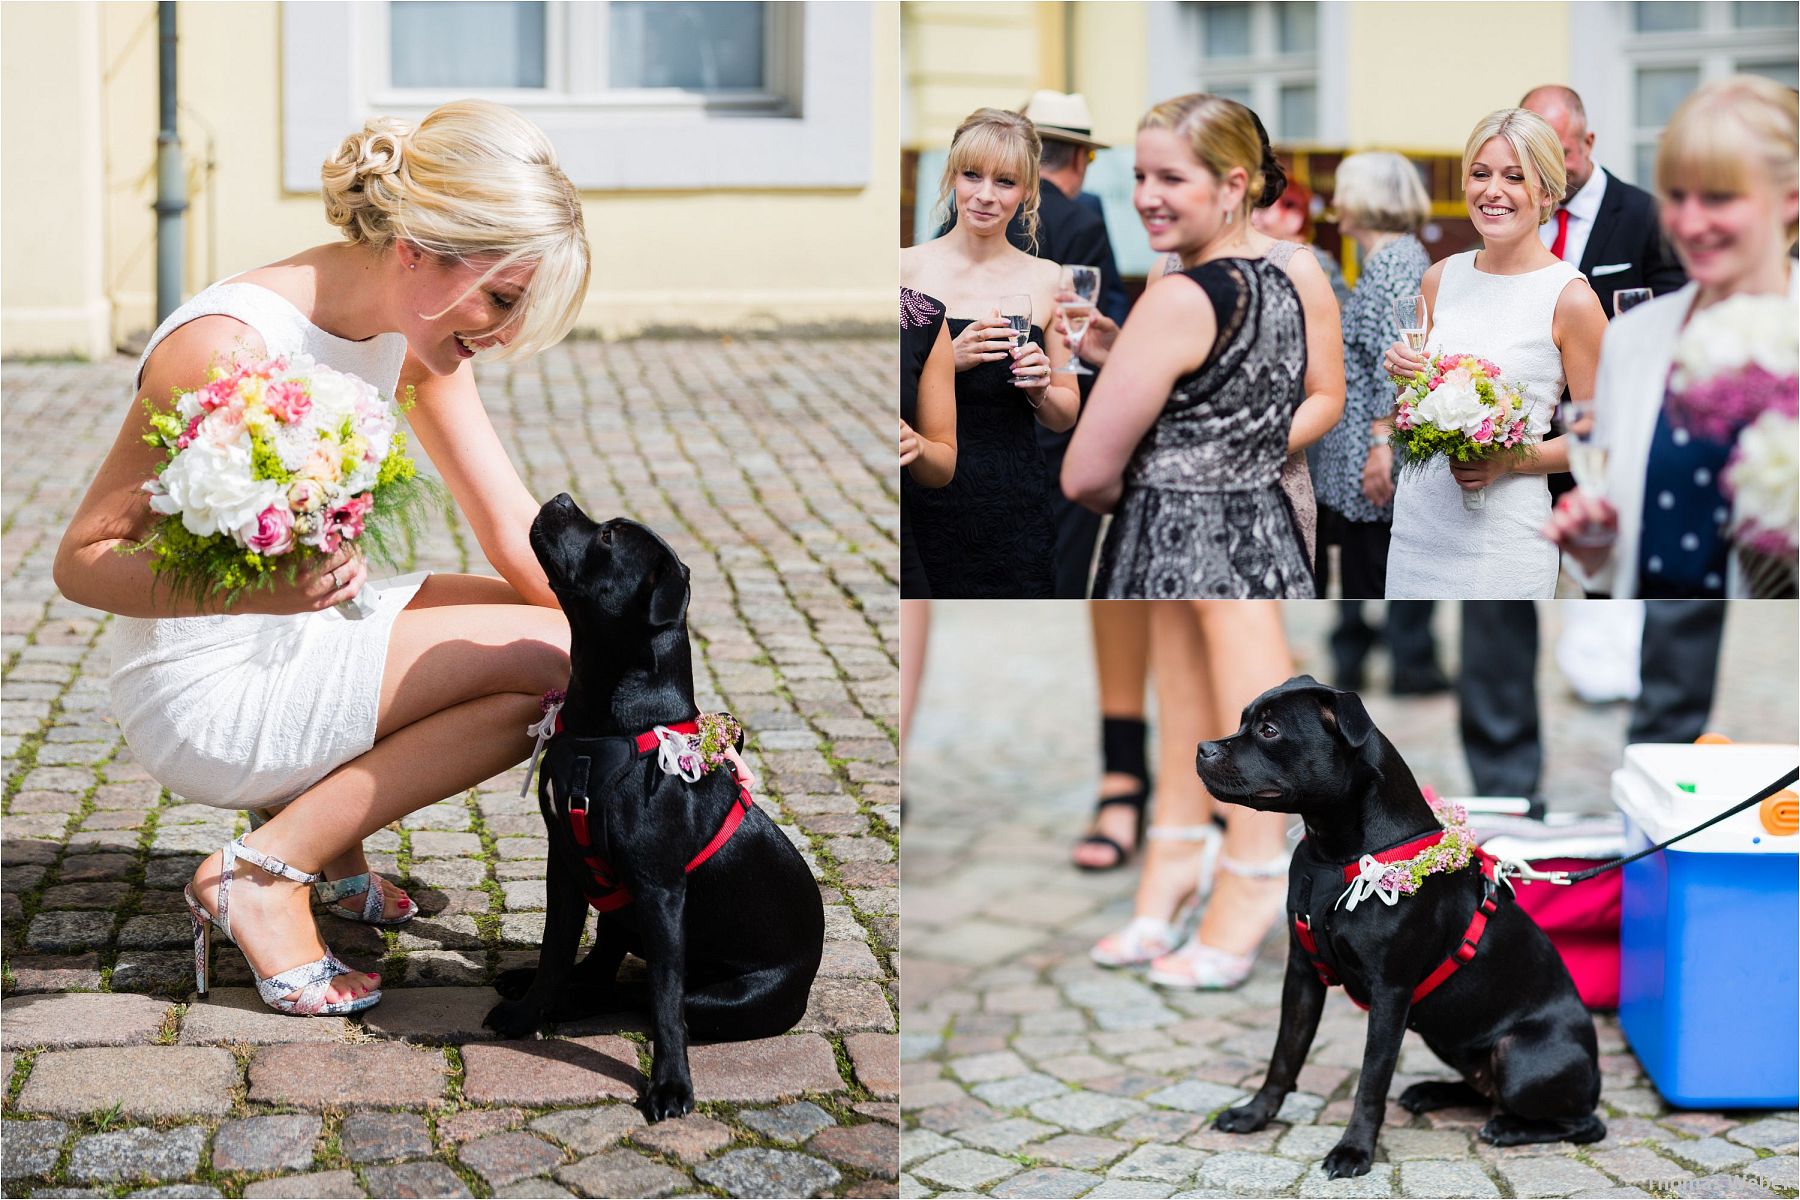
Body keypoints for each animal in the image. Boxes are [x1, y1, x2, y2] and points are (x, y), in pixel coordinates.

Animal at [493, 496, 828, 1115]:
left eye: (607, 538)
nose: (561, 499)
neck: (604, 721)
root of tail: (806, 983)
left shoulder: (660, 892)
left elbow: (666, 1002)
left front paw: (671, 1085)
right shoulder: (565, 866)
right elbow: (555, 953)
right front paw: (528, 1011)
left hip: (725, 995)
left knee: (643, 997)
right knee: (603, 970)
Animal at [1195, 676, 1605, 1180]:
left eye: (1269, 731)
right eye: (1242, 721)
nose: (1202, 747)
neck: (1336, 854)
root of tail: (1596, 1074)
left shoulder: (1390, 994)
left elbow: (1372, 1080)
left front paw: (1353, 1151)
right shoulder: (1303, 977)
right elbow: (1284, 1057)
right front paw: (1254, 1115)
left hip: (1518, 1054)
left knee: (1583, 1123)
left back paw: (1509, 1128)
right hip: (1448, 1038)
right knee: (1484, 1088)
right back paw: (1433, 1091)